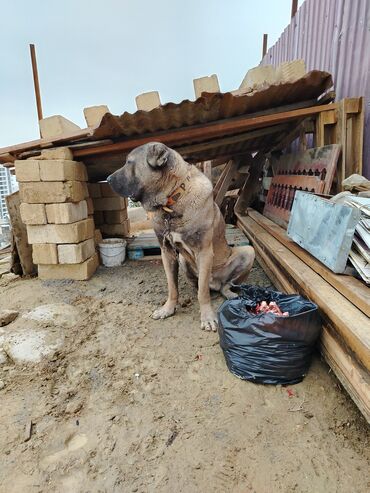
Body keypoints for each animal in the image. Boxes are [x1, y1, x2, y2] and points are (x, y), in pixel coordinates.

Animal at [107, 144, 254, 332]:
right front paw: (168, 309)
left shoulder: (204, 251)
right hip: (184, 261)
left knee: (223, 284)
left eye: (129, 162)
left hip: (248, 251)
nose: (107, 179)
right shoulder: (167, 252)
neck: (172, 199)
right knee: (199, 283)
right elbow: (172, 287)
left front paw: (207, 317)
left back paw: (228, 292)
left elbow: (203, 293)